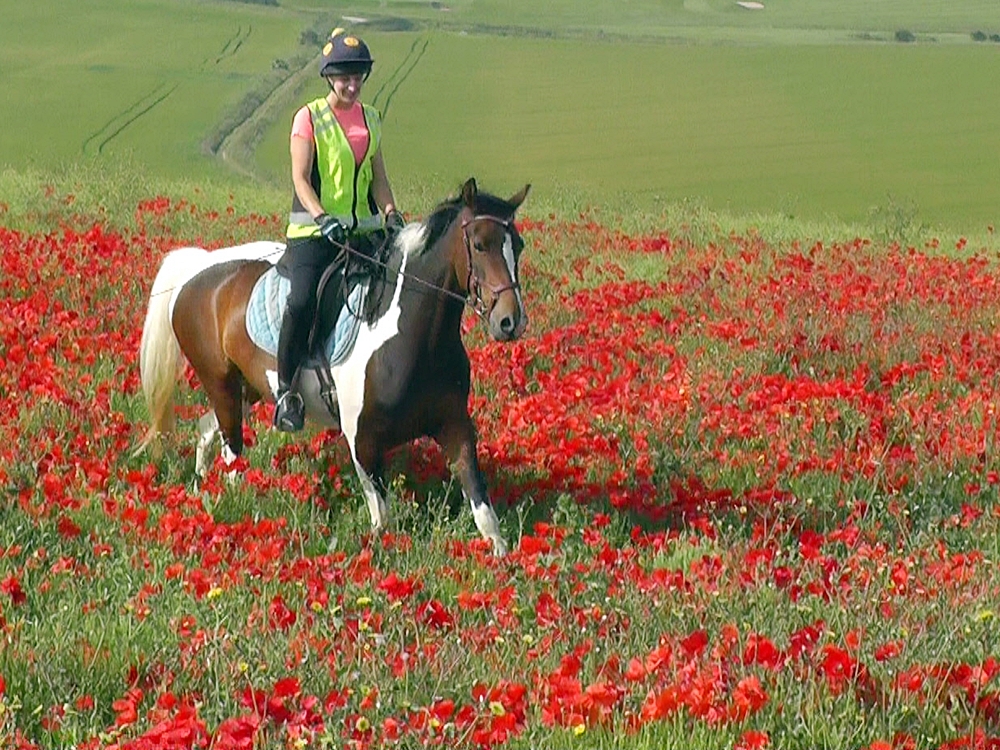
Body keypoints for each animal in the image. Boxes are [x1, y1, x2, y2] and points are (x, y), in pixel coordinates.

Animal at [137, 178, 530, 556]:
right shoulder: (363, 441)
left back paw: (202, 487)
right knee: (232, 452)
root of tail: (198, 269)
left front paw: (501, 556)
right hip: (221, 383)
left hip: (246, 388)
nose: (510, 322)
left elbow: (481, 503)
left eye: (519, 245)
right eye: (479, 244)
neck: (412, 336)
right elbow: (382, 519)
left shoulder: (455, 426)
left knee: (207, 429)